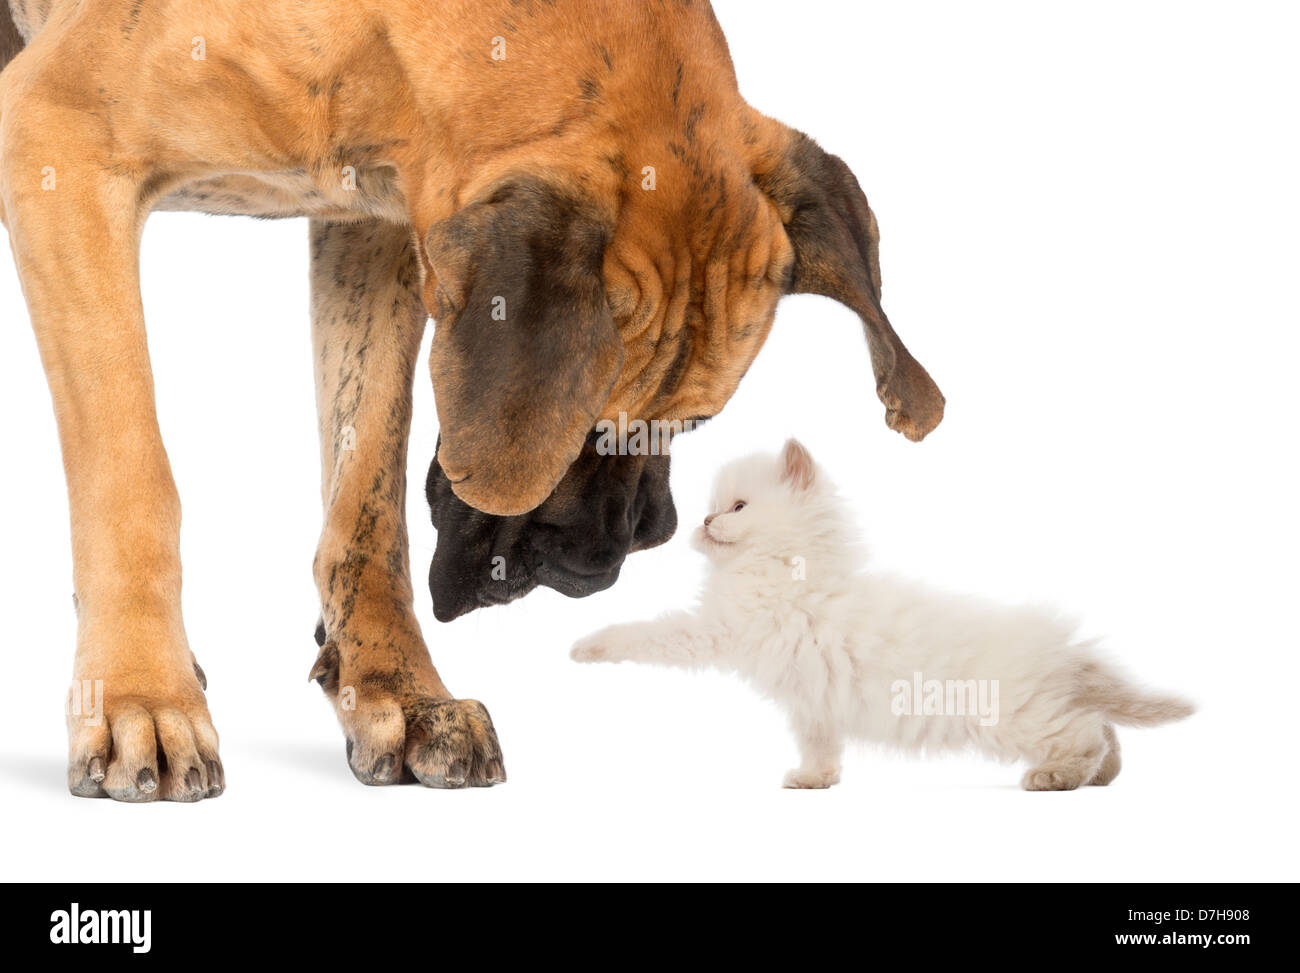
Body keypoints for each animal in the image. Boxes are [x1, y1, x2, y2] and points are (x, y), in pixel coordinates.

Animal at [0, 0, 946, 796]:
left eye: (697, 421)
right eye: (580, 426)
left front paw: (398, 690)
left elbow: (365, 499)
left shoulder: (375, 231)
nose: (621, 549)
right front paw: (142, 697)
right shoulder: (58, 144)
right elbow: (132, 474)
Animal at [574, 439, 1190, 790]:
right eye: (711, 507)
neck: (789, 565)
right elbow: (820, 746)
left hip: (1014, 716)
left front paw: (588, 646)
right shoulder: (813, 702)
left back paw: (1056, 778)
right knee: (1103, 727)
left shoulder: (713, 631)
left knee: (1084, 734)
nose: (703, 522)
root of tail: (1061, 651)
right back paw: (1102, 775)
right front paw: (815, 781)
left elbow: (647, 633)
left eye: (737, 507)